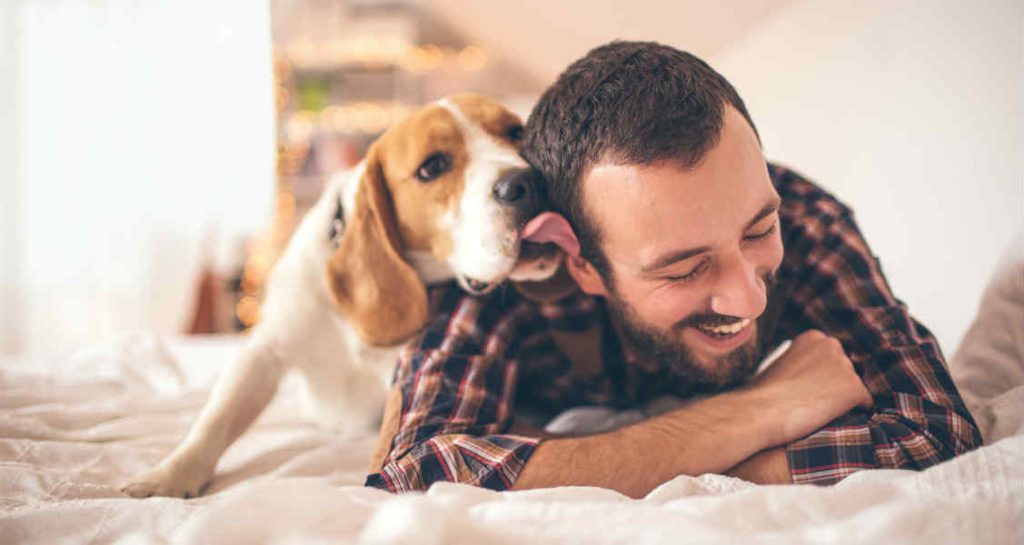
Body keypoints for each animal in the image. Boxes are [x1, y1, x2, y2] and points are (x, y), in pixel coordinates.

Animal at [124, 94, 569, 497]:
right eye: (433, 166)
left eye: (516, 132)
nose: (528, 182)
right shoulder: (265, 350)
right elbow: (217, 419)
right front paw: (169, 476)